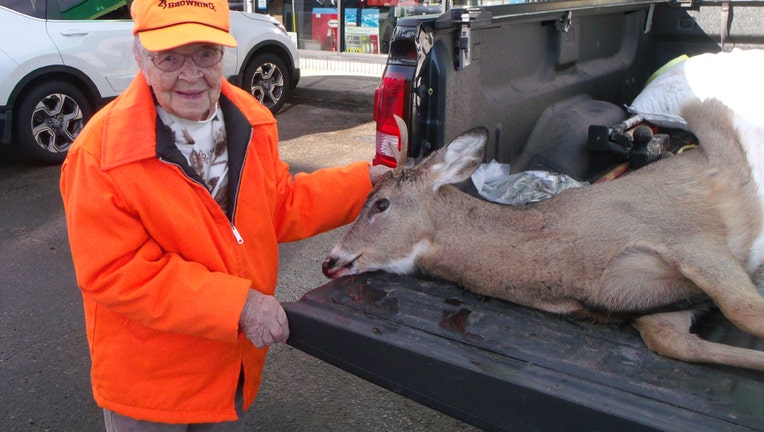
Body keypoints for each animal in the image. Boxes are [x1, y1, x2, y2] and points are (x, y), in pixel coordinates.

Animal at [326, 98, 764, 372]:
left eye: (381, 204)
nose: (329, 260)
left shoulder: (685, 235)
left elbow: (745, 311)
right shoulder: (654, 306)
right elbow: (672, 340)